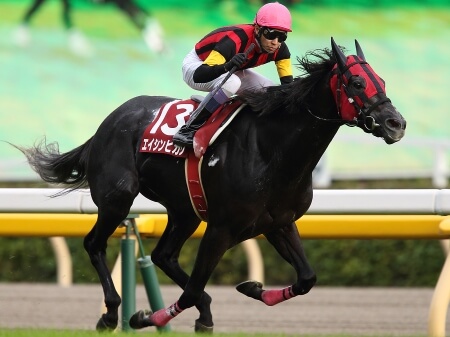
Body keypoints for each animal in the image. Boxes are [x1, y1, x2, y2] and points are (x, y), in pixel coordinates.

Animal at [16, 38, 404, 332]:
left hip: (184, 211)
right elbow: (188, 293)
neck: (273, 150)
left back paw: (199, 308)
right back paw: (111, 313)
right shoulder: (221, 228)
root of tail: (105, 125)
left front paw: (252, 287)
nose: (395, 123)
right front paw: (143, 318)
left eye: (383, 82)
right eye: (357, 84)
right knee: (95, 244)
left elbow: (307, 277)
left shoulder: (277, 222)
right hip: (117, 198)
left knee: (163, 255)